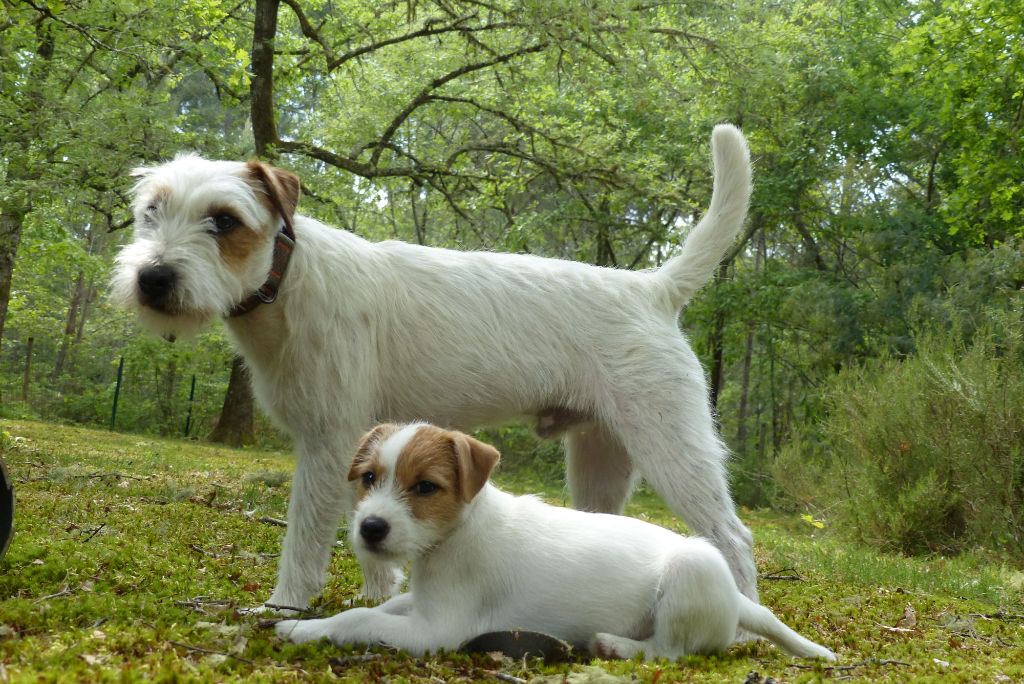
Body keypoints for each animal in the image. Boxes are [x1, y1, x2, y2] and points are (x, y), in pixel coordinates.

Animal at [111, 124, 759, 612]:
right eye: (151, 211)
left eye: (223, 220)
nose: (152, 278)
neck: (288, 278)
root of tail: (654, 288)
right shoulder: (359, 454)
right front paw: (378, 597)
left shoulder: (324, 444)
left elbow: (305, 540)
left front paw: (285, 606)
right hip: (601, 460)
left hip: (674, 450)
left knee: (734, 538)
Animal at [275, 423, 836, 662]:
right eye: (369, 478)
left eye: (426, 488)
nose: (370, 528)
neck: (461, 530)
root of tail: (739, 603)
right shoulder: (423, 603)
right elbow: (377, 607)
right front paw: (306, 622)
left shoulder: (437, 630)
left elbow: (361, 620)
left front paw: (304, 630)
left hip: (690, 571)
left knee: (672, 651)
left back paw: (617, 645)